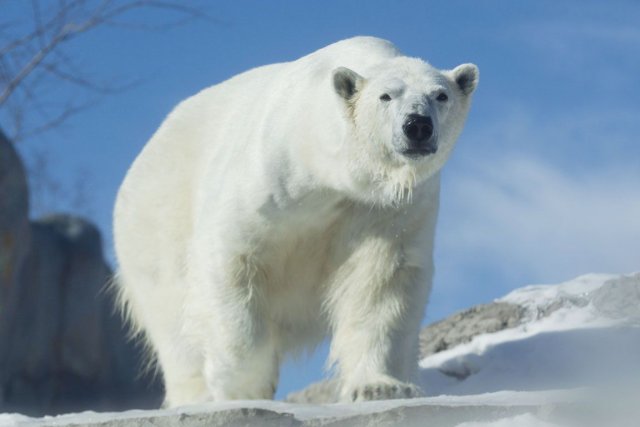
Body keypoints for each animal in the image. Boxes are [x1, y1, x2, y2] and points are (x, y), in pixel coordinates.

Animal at [114, 36, 476, 408]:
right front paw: (244, 392)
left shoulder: (387, 208)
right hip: (156, 224)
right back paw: (196, 396)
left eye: (441, 95)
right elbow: (232, 264)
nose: (417, 125)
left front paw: (381, 387)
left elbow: (381, 282)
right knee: (173, 322)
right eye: (386, 96)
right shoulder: (270, 179)